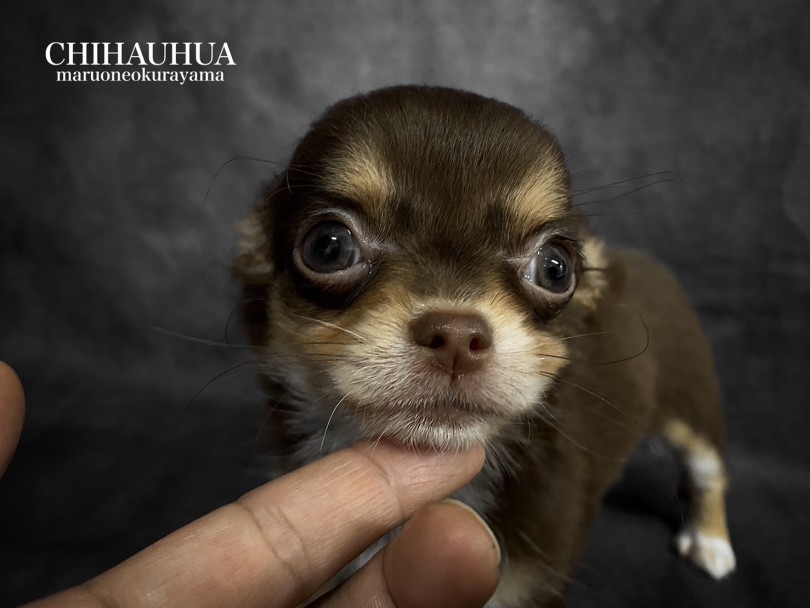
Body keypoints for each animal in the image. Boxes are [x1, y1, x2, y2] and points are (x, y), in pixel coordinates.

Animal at [232, 86, 732, 608]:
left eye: (555, 268)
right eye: (328, 247)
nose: (455, 335)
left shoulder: (529, 586)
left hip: (693, 405)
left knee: (709, 471)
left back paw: (712, 541)